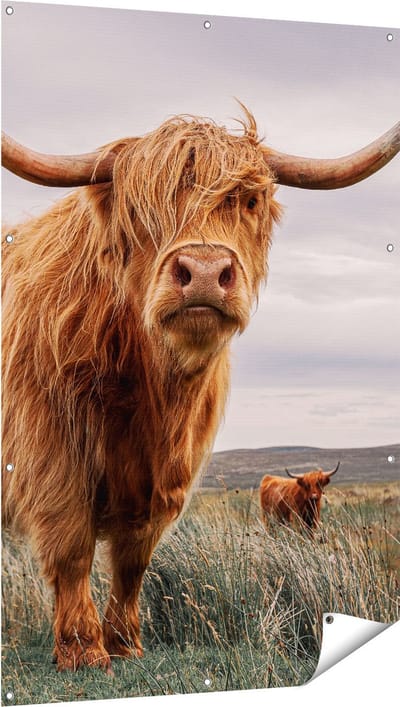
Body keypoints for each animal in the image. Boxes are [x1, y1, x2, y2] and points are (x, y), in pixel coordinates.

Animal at [1, 109, 399, 672]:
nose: (206, 272)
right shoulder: (51, 453)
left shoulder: (167, 473)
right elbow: (72, 545)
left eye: (249, 200)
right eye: (139, 207)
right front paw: (83, 650)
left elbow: (134, 559)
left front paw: (126, 643)